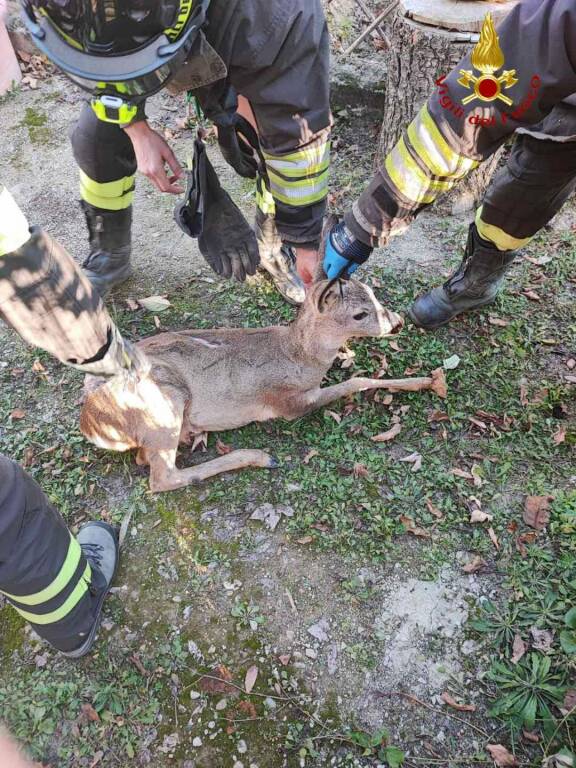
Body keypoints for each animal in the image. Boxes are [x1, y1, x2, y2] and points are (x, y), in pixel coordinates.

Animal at [80, 278, 446, 492]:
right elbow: (356, 380)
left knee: (146, 460)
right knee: (161, 477)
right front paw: (426, 381)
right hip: (165, 400)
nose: (397, 322)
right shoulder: (289, 402)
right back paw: (259, 456)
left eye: (374, 296)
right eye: (359, 314)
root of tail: (90, 423)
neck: (300, 356)